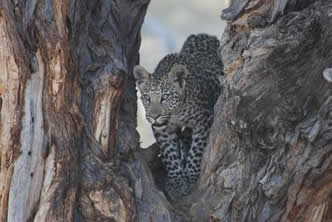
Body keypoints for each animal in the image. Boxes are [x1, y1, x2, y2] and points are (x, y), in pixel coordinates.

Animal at [133, 33, 223, 198]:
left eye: (165, 97)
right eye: (147, 98)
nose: (154, 116)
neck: (176, 113)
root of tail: (205, 35)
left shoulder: (203, 120)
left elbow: (196, 150)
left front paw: (191, 176)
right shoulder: (162, 130)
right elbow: (169, 154)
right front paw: (176, 181)